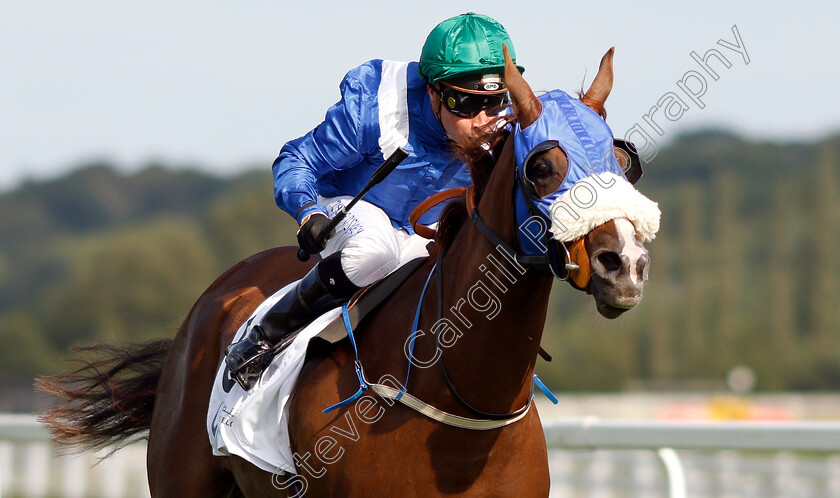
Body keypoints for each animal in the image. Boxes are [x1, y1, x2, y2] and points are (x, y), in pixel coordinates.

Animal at [37, 47, 656, 498]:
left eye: (623, 162)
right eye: (543, 165)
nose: (625, 263)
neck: (461, 405)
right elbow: (302, 156)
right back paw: (253, 348)